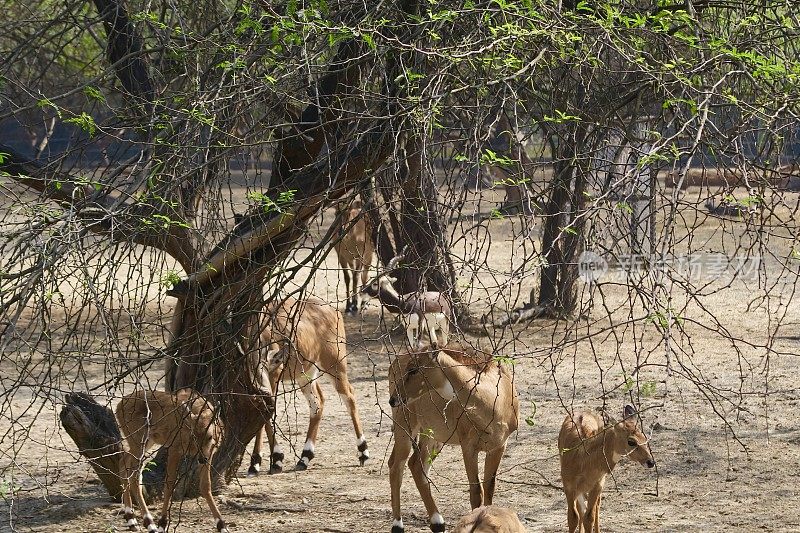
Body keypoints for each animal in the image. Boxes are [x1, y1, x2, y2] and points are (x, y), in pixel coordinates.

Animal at [115, 386, 228, 532]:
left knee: (123, 464)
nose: (201, 459)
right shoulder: (174, 449)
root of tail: (118, 405)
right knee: (134, 474)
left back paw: (131, 519)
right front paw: (162, 524)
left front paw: (221, 525)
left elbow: (205, 485)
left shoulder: (210, 453)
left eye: (209, 436)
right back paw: (149, 523)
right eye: (193, 436)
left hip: (144, 443)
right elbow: (169, 484)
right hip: (139, 441)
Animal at [247, 296, 368, 474]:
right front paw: (256, 462)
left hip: (334, 365)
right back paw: (305, 457)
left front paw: (275, 459)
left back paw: (363, 451)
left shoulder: (272, 374)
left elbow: (267, 412)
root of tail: (334, 311)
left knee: (349, 396)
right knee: (317, 402)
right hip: (306, 374)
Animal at [386, 344, 520, 532]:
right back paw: (398, 525)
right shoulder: (468, 446)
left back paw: (437, 522)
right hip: (405, 425)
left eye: (414, 369)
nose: (394, 399)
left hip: (433, 436)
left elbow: (489, 487)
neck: (494, 402)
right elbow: (476, 491)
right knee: (396, 465)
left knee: (416, 464)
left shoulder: (499, 446)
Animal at [556, 404, 656, 532]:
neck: (584, 460)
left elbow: (589, 517)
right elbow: (573, 518)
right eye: (631, 441)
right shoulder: (569, 486)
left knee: (596, 507)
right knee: (581, 509)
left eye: (644, 437)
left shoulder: (597, 485)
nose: (650, 462)